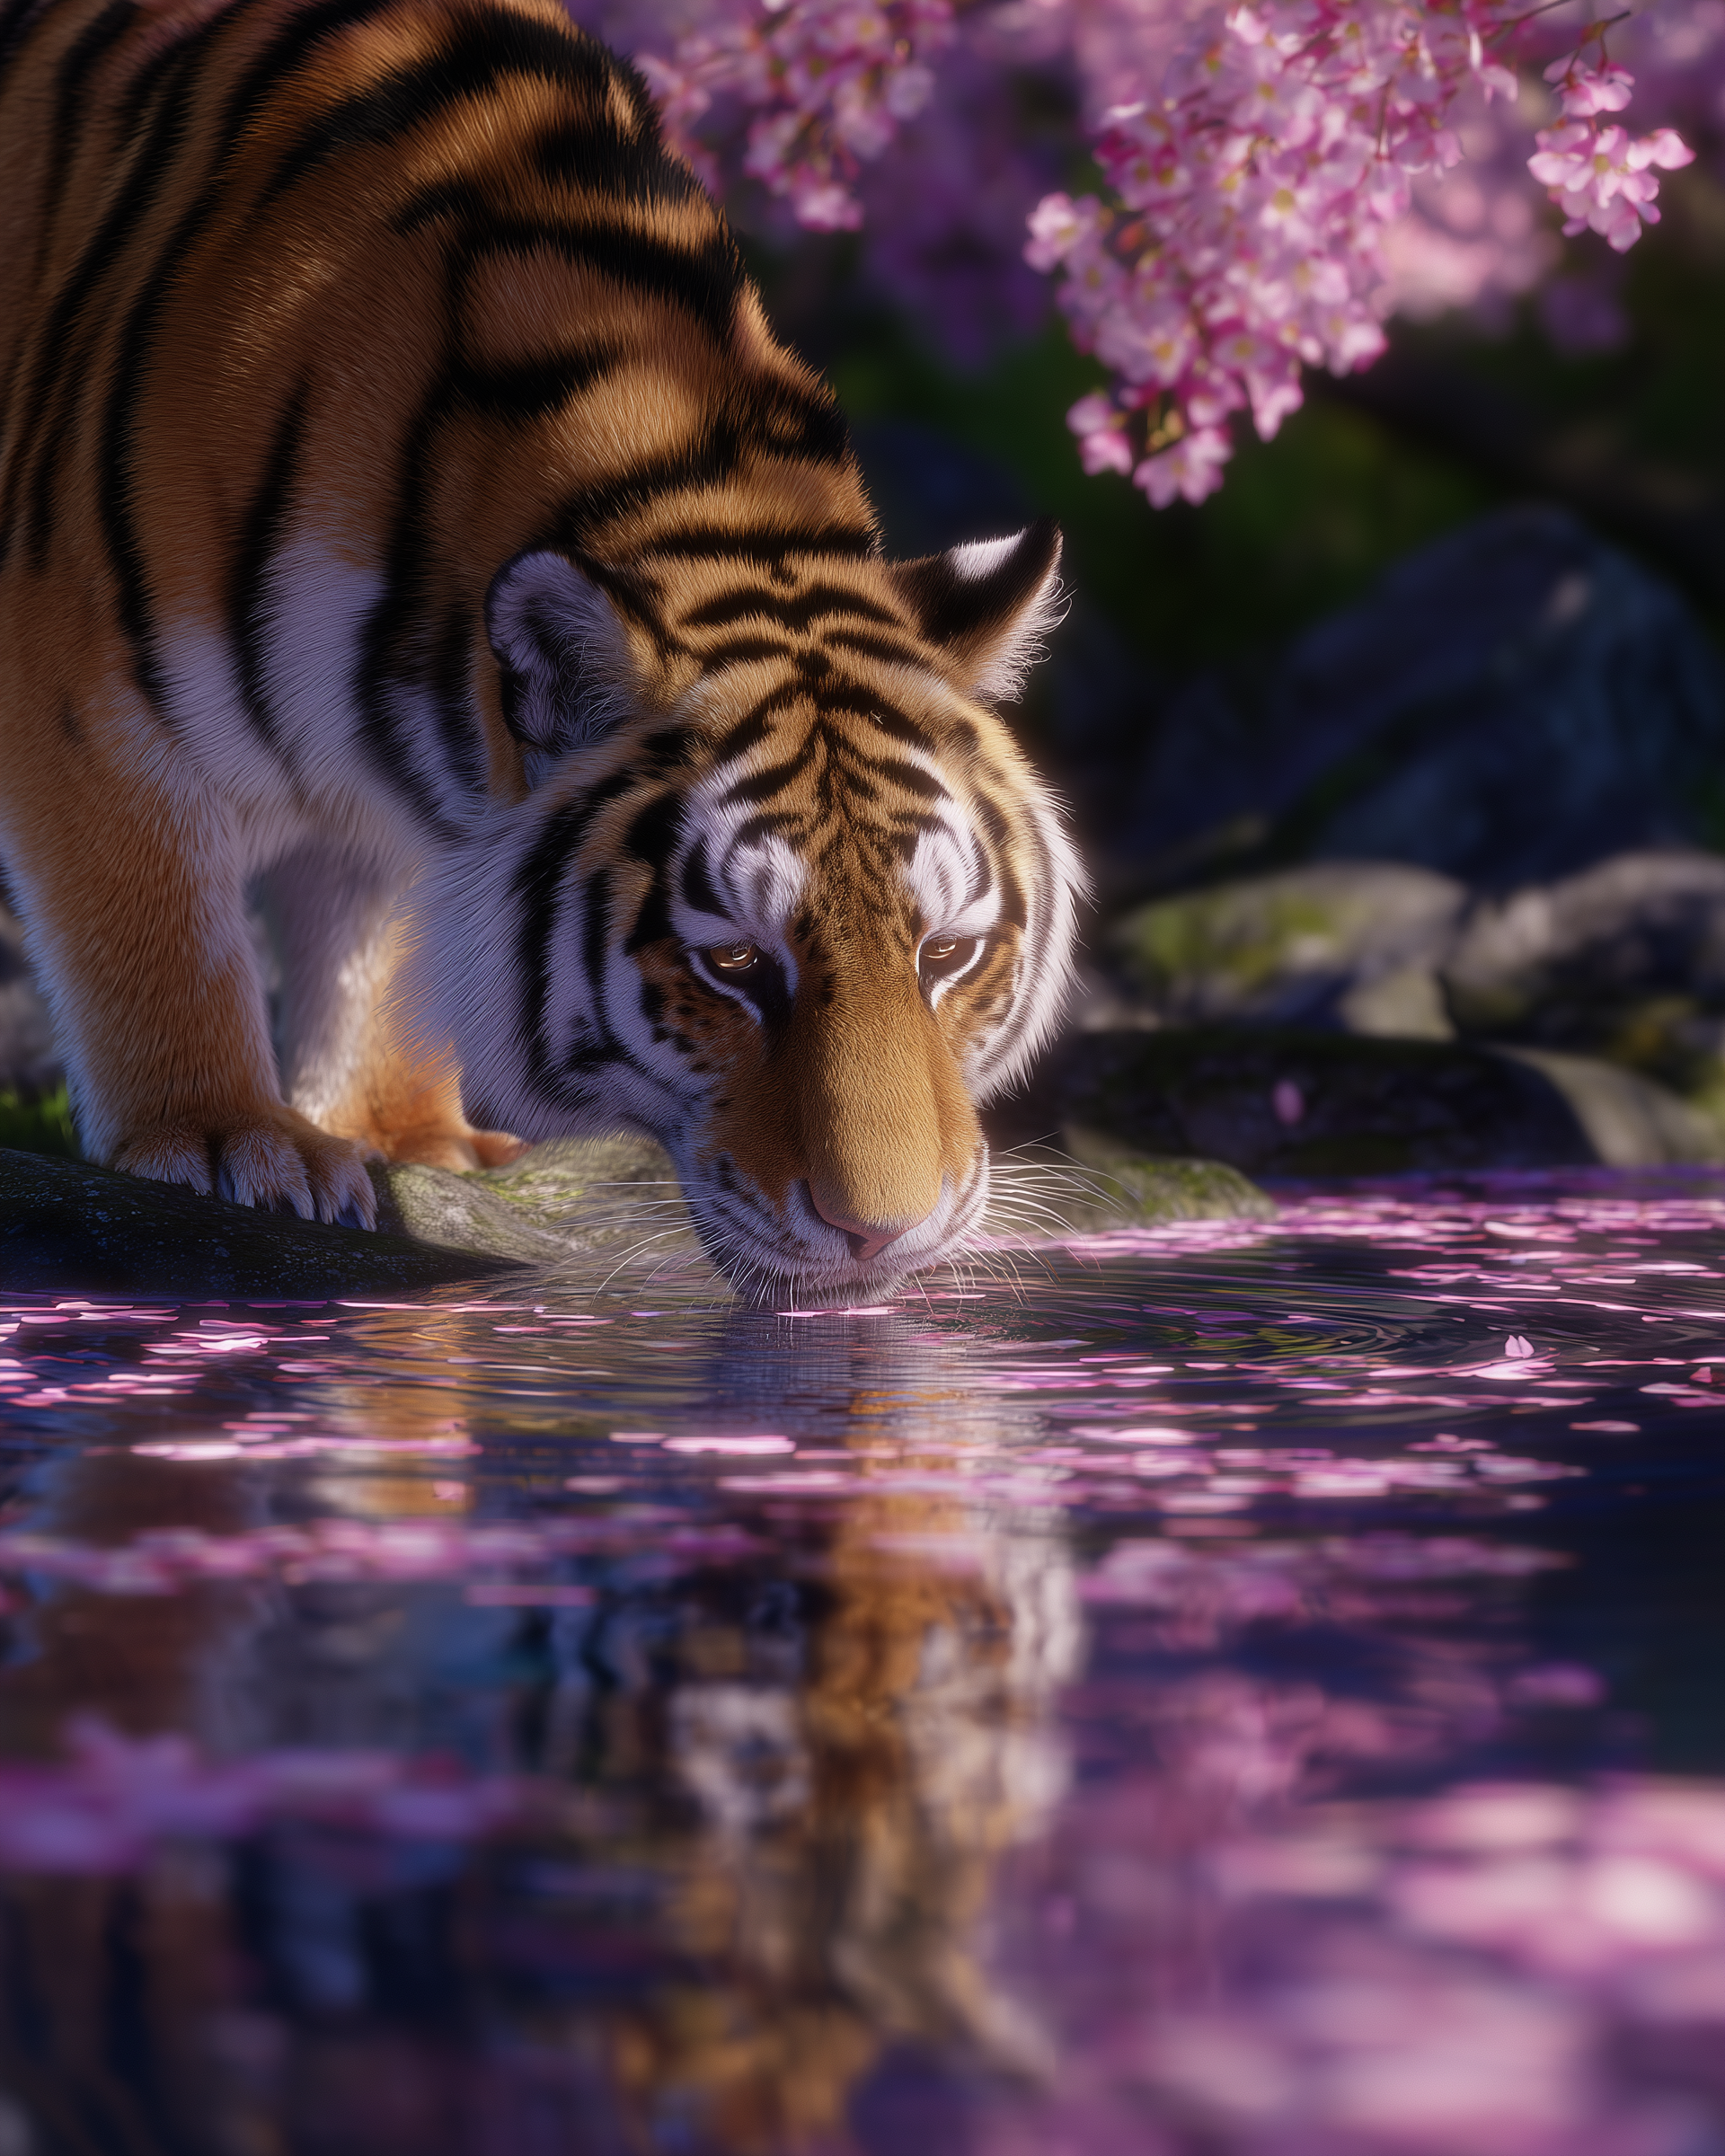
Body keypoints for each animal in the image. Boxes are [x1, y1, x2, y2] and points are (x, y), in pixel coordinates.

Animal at [0, 0, 1085, 1302]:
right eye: (732, 965)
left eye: (949, 952)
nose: (886, 1233)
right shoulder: (84, 696)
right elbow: (157, 936)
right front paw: (229, 1141)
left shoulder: (410, 793)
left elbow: (377, 956)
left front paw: (400, 1136)